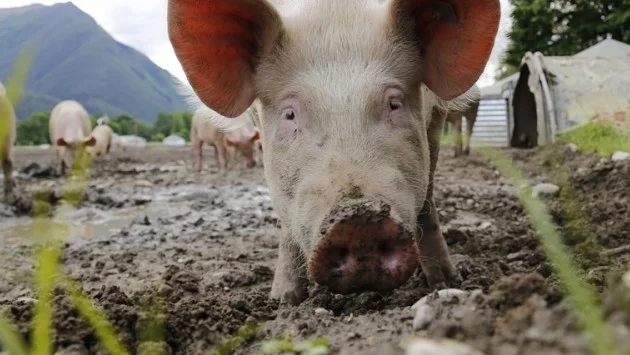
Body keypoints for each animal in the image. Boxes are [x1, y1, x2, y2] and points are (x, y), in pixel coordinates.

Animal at [169, 0, 504, 304]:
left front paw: (446, 283)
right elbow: (286, 222)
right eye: (289, 114)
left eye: (394, 103)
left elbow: (427, 197)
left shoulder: (435, 115)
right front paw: (283, 300)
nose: (358, 219)